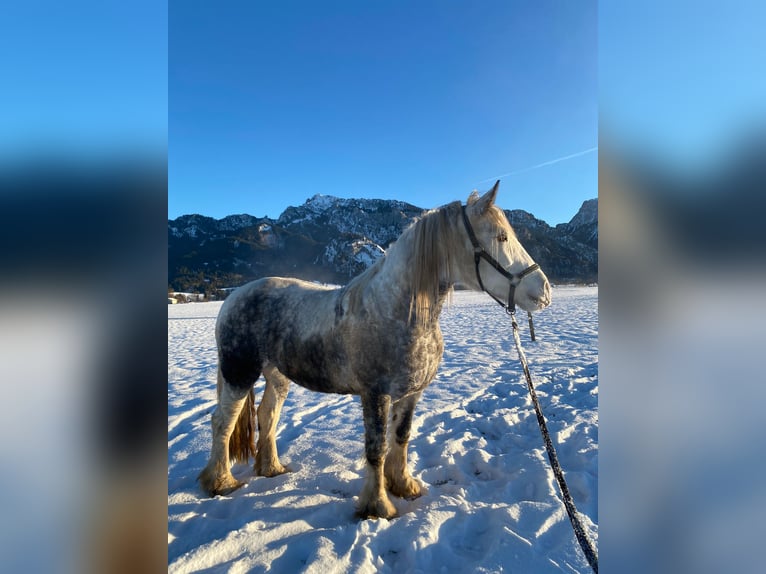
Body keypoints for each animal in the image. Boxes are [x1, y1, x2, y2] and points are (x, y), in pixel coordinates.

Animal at [200, 182, 552, 520]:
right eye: (501, 237)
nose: (544, 291)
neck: (395, 310)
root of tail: (234, 297)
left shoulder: (411, 394)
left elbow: (401, 437)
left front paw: (404, 486)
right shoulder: (375, 394)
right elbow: (377, 448)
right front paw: (378, 506)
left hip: (277, 375)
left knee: (267, 415)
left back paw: (271, 468)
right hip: (239, 373)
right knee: (222, 422)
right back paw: (220, 482)